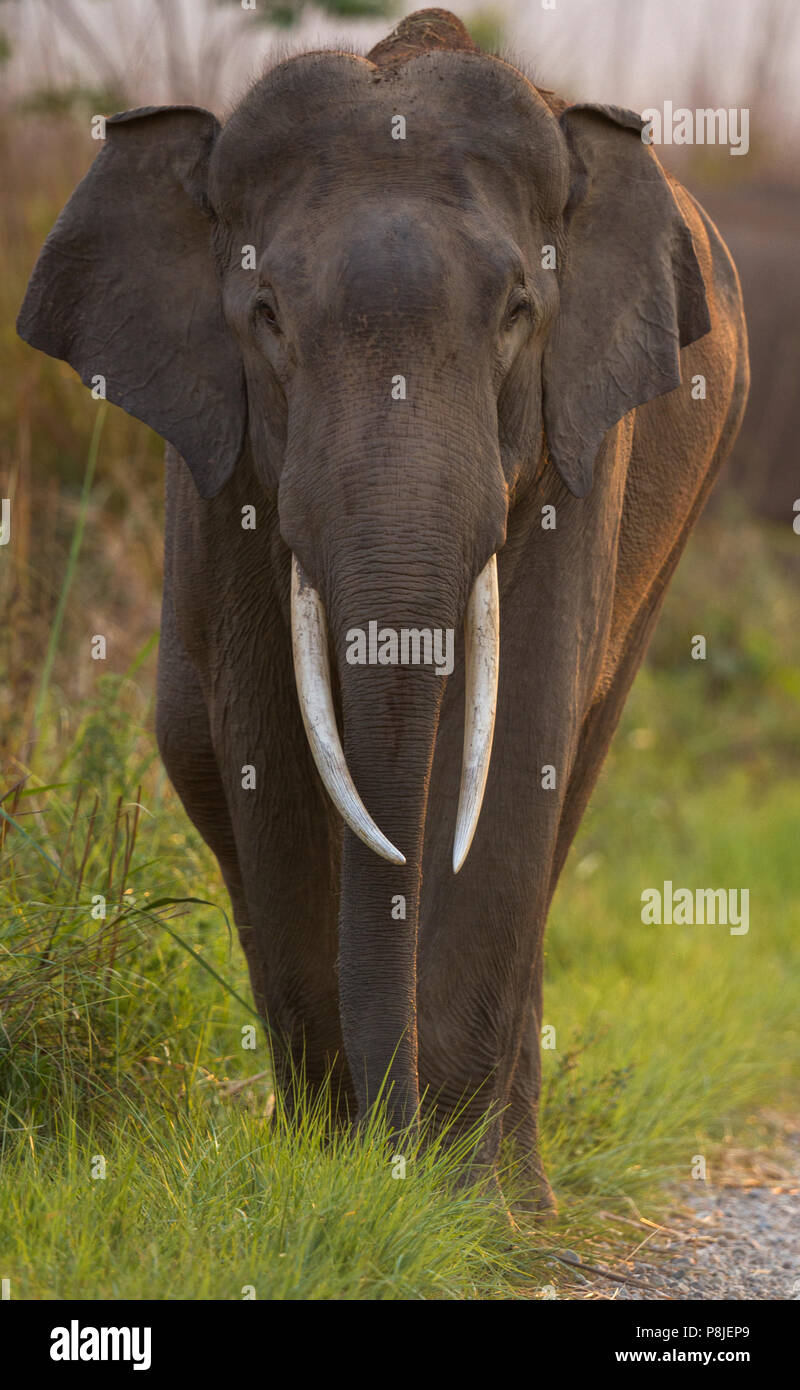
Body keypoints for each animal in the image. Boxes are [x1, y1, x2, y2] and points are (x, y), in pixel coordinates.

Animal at [18, 9, 748, 1212]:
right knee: (193, 741)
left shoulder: (579, 444)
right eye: (266, 316)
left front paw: (457, 1204)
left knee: (574, 761)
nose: (386, 1151)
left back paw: (519, 1193)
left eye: (517, 314)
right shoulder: (225, 461)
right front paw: (343, 1167)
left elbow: (520, 746)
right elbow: (261, 744)